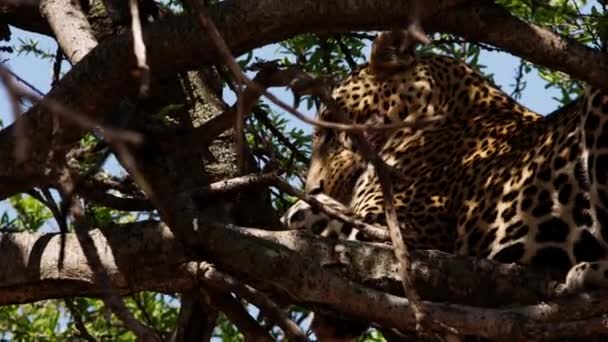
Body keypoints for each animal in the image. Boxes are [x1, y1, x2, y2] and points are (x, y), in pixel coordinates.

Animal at [282, 30, 608, 340]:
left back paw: (589, 272)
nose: (314, 187)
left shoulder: (402, 233)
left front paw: (300, 210)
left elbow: (322, 221)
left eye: (328, 130)